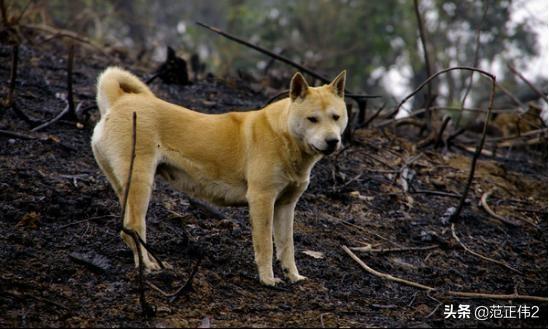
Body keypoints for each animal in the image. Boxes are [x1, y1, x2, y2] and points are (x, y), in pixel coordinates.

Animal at [90, 67, 346, 284]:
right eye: (312, 118)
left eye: (336, 117)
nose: (333, 141)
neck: (283, 135)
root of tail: (119, 100)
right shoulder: (262, 199)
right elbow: (265, 245)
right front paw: (268, 279)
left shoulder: (286, 205)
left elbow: (286, 245)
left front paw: (293, 276)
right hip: (140, 183)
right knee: (134, 226)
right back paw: (148, 266)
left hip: (124, 187)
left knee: (125, 230)